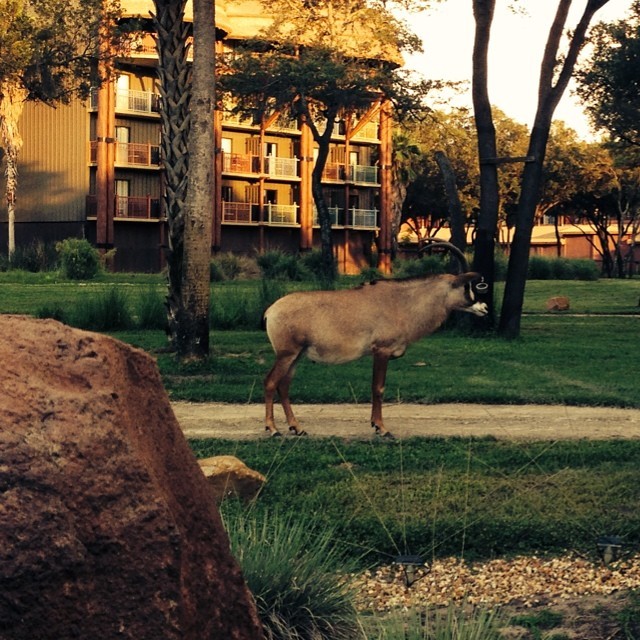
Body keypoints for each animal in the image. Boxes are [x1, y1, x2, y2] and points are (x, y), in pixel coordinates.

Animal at [262, 242, 488, 438]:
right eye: (466, 287)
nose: (484, 308)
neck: (402, 302)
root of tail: (270, 311)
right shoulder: (382, 351)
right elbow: (378, 388)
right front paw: (381, 428)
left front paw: (376, 424)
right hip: (286, 354)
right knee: (271, 382)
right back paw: (273, 429)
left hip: (296, 356)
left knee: (284, 386)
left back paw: (297, 428)